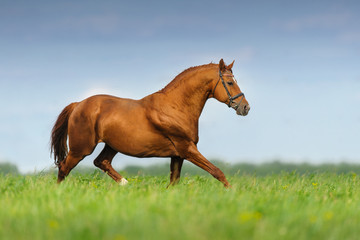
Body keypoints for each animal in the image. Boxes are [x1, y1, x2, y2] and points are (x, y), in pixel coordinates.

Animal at [50, 58, 249, 188]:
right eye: (230, 82)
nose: (245, 107)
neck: (175, 107)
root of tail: (78, 104)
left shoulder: (177, 155)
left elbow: (174, 182)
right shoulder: (187, 149)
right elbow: (217, 172)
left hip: (112, 145)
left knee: (101, 162)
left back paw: (125, 184)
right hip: (81, 148)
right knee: (64, 168)